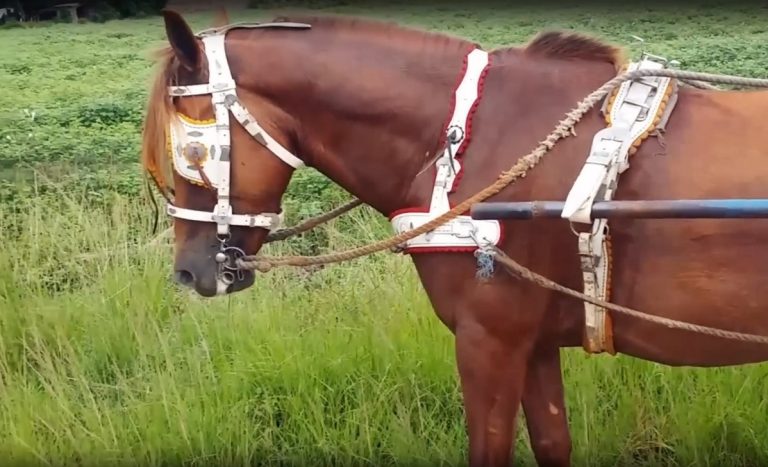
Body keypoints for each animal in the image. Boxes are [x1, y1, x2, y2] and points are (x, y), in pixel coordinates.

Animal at [141, 9, 768, 466]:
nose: (189, 270)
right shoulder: (531, 341)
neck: (463, 140)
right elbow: (552, 444)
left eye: (189, 149)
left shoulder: (487, 338)